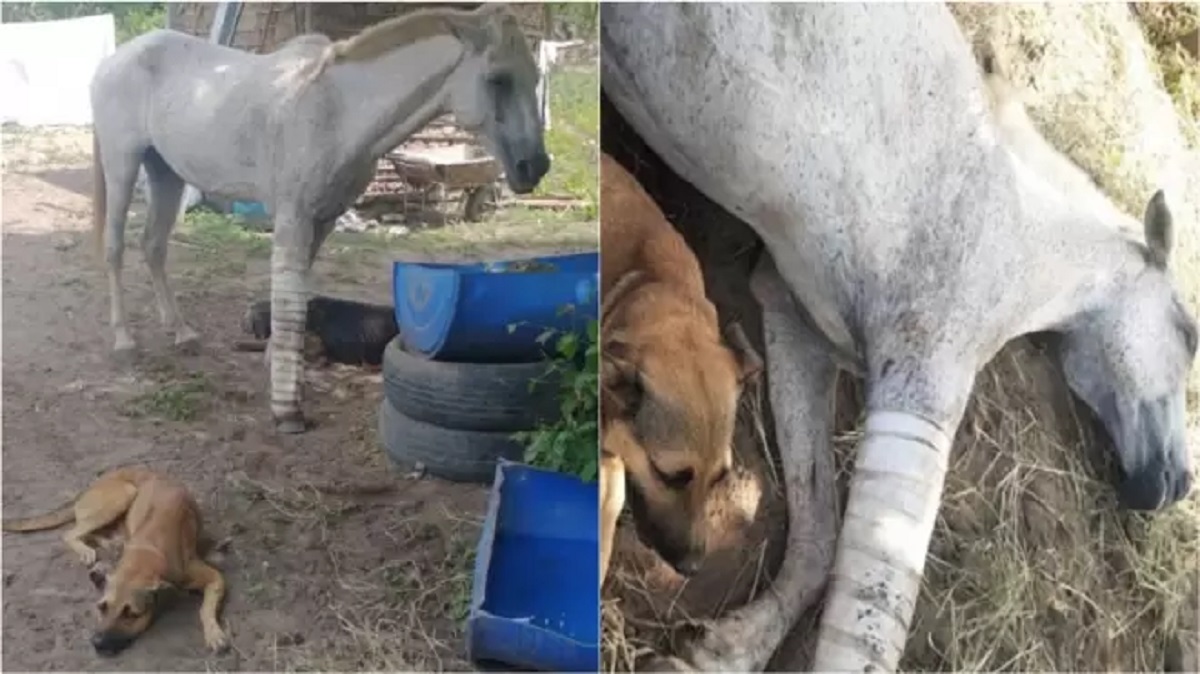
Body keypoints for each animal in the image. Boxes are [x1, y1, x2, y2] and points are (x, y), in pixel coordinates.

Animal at [1, 465, 229, 652]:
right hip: (123, 495)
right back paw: (92, 549)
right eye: (102, 607)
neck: (147, 551)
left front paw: (213, 632)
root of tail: (90, 487)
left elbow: (205, 608)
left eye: (131, 614)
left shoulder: (214, 578)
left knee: (85, 532)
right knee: (72, 532)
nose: (97, 644)